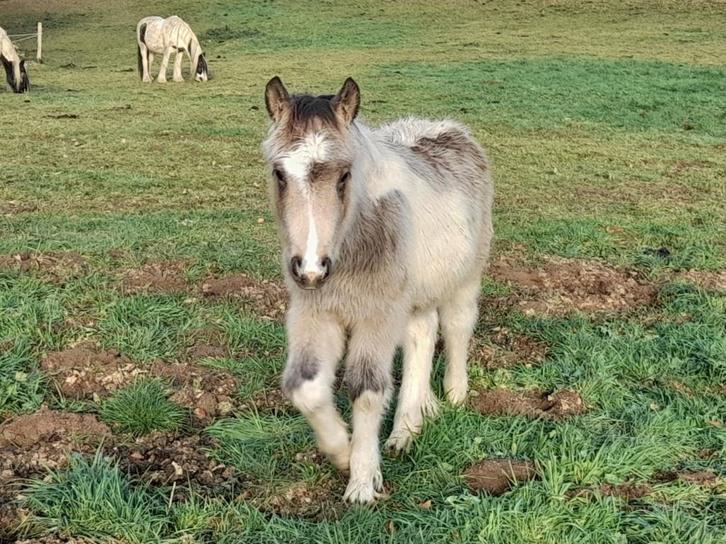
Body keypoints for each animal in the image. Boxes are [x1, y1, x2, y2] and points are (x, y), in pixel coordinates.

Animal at [262, 77, 494, 503]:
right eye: (280, 173)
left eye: (344, 175)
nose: (311, 268)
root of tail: (447, 127)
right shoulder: (314, 311)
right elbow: (304, 386)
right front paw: (341, 450)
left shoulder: (377, 315)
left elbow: (367, 390)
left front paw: (362, 481)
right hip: (413, 294)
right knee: (422, 334)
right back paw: (410, 425)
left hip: (464, 277)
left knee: (456, 327)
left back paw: (453, 394)